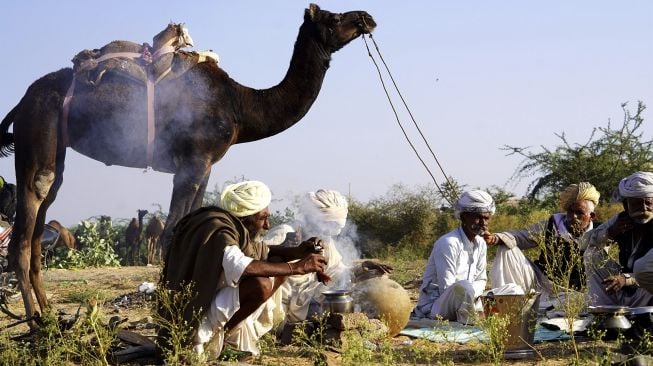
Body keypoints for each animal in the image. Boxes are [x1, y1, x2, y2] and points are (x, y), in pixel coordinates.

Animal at [0, 4, 374, 326]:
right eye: (333, 16)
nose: (366, 18)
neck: (241, 105)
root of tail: (22, 102)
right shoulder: (193, 161)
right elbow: (171, 233)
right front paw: (168, 314)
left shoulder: (204, 166)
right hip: (38, 131)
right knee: (25, 225)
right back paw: (34, 325)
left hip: (55, 150)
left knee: (41, 219)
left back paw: (51, 316)